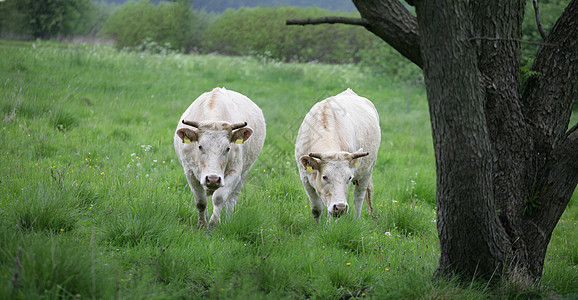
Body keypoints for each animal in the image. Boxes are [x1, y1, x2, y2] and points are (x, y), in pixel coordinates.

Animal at [173, 86, 266, 227]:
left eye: (228, 148)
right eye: (200, 146)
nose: (212, 179)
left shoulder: (235, 172)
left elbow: (219, 198)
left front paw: (213, 224)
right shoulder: (190, 172)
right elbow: (201, 201)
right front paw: (202, 224)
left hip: (244, 173)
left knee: (232, 199)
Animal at [294, 88, 380, 223]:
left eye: (349, 177)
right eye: (324, 177)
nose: (340, 207)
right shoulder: (305, 178)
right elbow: (316, 209)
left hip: (367, 171)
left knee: (358, 197)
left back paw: (356, 220)